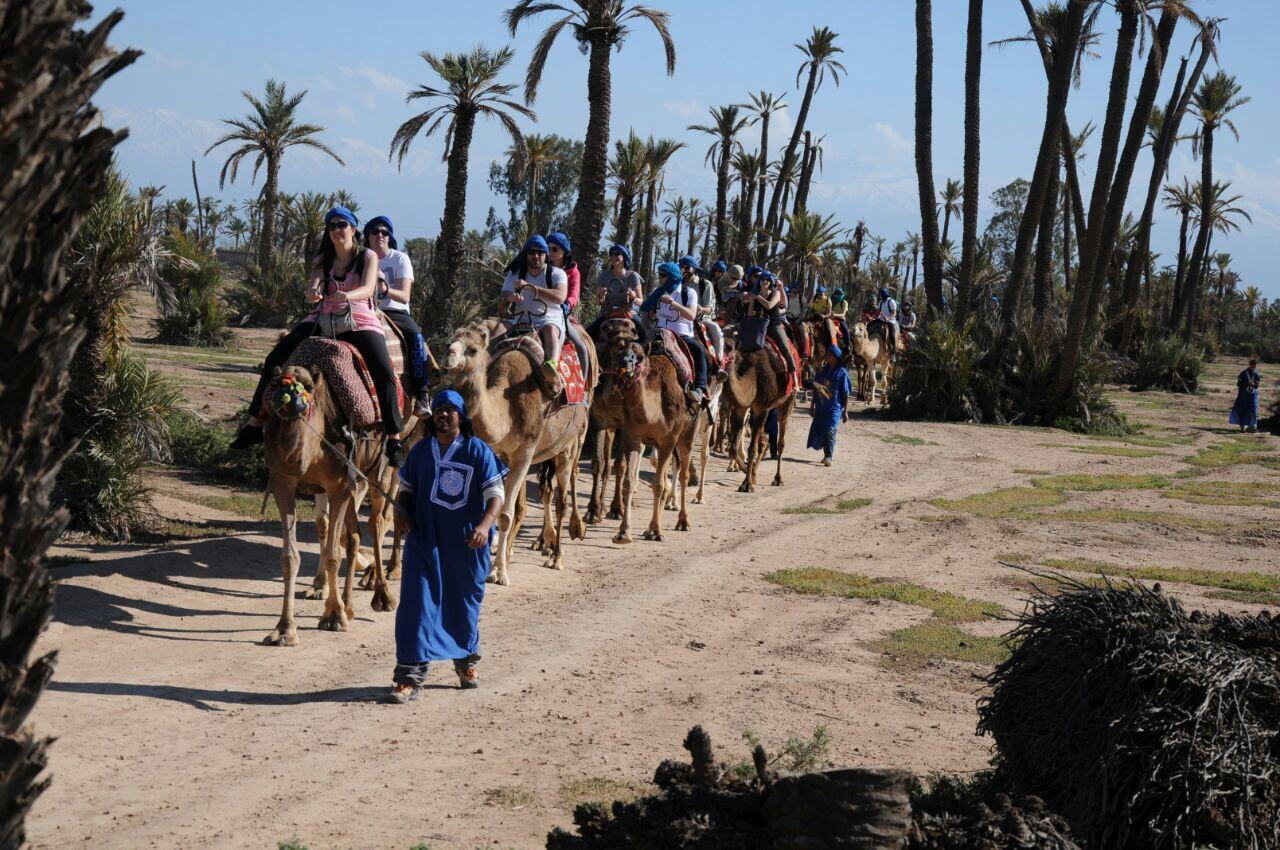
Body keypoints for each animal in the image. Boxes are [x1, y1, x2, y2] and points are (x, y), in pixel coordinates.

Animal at [263, 360, 412, 647]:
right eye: (274, 385)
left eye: (309, 387)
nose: (288, 404)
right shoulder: (283, 481)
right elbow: (290, 557)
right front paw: (285, 629)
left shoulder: (340, 486)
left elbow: (333, 553)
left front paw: (333, 616)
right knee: (355, 534)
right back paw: (354, 599)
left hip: (383, 467)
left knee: (378, 522)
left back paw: (382, 594)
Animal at [442, 318, 596, 583]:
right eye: (453, 341)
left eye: (473, 349)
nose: (449, 356)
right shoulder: (500, 454)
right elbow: (503, 508)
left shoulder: (525, 451)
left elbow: (505, 514)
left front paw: (498, 572)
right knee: (536, 497)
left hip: (568, 445)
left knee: (562, 498)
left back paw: (557, 556)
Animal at [591, 318, 711, 545]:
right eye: (619, 351)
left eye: (639, 357)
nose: (626, 362)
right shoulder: (633, 435)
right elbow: (629, 481)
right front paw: (623, 533)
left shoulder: (668, 439)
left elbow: (658, 485)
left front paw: (656, 531)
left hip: (689, 431)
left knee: (682, 473)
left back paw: (682, 521)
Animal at [721, 332, 798, 491]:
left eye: (729, 348)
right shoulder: (741, 408)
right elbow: (732, 448)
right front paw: (746, 472)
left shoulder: (762, 409)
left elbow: (752, 448)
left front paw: (747, 484)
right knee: (764, 442)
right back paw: (755, 474)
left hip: (787, 401)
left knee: (780, 442)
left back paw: (778, 479)